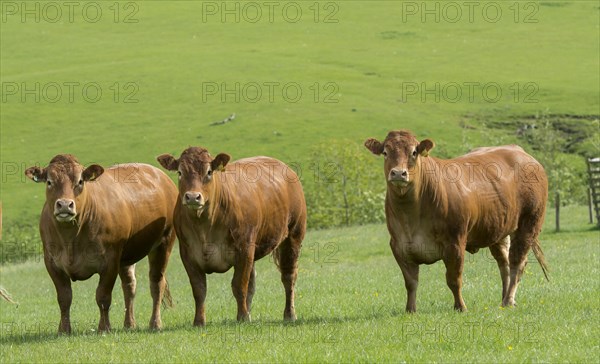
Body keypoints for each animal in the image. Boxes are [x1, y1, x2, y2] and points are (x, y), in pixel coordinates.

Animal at [26, 154, 176, 332]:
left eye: (80, 181)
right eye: (49, 181)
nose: (64, 205)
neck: (71, 239)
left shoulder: (110, 261)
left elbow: (103, 296)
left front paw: (104, 328)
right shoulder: (51, 262)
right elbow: (64, 298)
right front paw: (64, 330)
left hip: (163, 243)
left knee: (156, 284)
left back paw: (155, 323)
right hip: (126, 257)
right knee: (129, 286)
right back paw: (129, 324)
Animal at [157, 148, 304, 324]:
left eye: (209, 172)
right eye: (180, 172)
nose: (192, 197)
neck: (204, 226)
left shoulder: (244, 249)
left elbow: (239, 285)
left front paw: (242, 318)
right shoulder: (188, 254)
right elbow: (199, 289)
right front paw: (199, 321)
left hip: (294, 235)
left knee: (289, 276)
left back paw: (289, 314)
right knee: (252, 284)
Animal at [366, 131, 548, 312]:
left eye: (414, 152)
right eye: (385, 152)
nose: (398, 173)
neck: (411, 216)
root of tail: (519, 151)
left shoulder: (455, 242)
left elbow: (453, 280)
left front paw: (460, 307)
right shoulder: (399, 245)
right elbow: (411, 283)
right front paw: (410, 310)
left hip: (529, 224)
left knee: (517, 262)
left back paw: (509, 300)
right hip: (499, 229)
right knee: (504, 264)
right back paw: (504, 298)